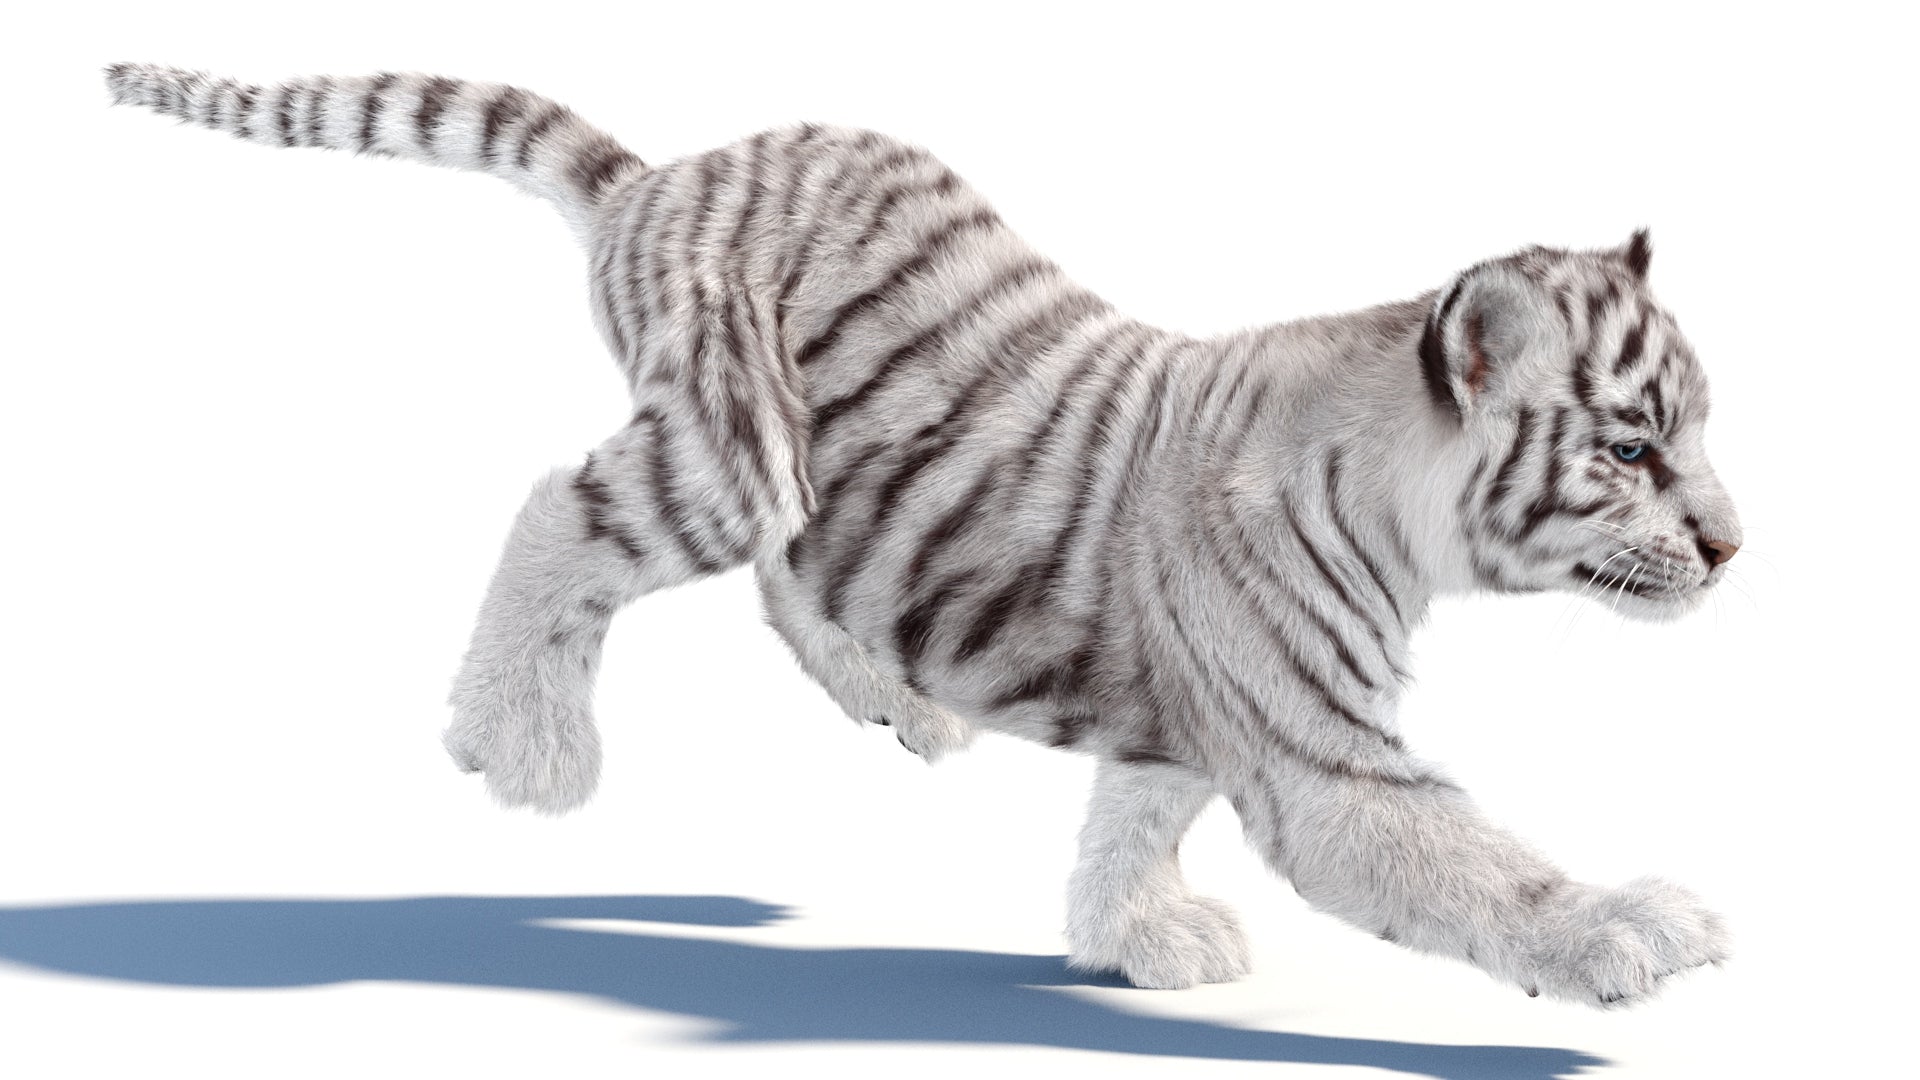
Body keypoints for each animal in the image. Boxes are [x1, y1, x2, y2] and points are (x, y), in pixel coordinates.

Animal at [105, 64, 1741, 1008]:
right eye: (1632, 448)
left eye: (1698, 430)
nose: (1732, 548)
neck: (1400, 507)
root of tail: (660, 176)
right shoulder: (1322, 759)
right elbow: (1481, 864)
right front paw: (1626, 930)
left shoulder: (1191, 717)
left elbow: (1132, 819)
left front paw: (1133, 941)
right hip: (723, 451)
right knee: (561, 511)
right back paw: (524, 742)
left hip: (817, 471)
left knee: (794, 577)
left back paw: (902, 700)